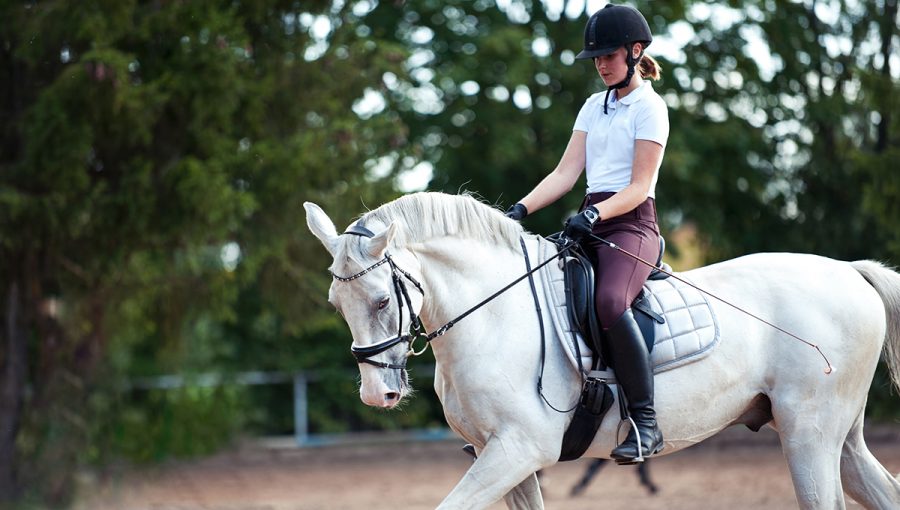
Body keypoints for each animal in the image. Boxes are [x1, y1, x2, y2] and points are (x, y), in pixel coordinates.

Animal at [306, 192, 900, 510]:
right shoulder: (501, 456)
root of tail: (849, 271)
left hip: (808, 434)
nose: (377, 394)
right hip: (836, 437)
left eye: (383, 299)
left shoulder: (518, 449)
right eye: (335, 303)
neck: (493, 315)